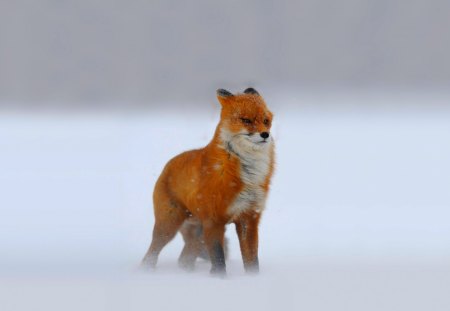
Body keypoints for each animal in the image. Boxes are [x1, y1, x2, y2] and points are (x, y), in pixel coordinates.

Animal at [142, 87, 274, 276]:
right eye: (246, 120)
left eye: (266, 121)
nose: (265, 134)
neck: (247, 173)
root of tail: (167, 165)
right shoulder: (214, 220)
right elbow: (218, 260)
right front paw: (219, 280)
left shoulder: (248, 217)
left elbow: (252, 260)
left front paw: (253, 279)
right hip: (169, 225)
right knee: (151, 254)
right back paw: (146, 272)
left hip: (197, 232)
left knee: (184, 259)